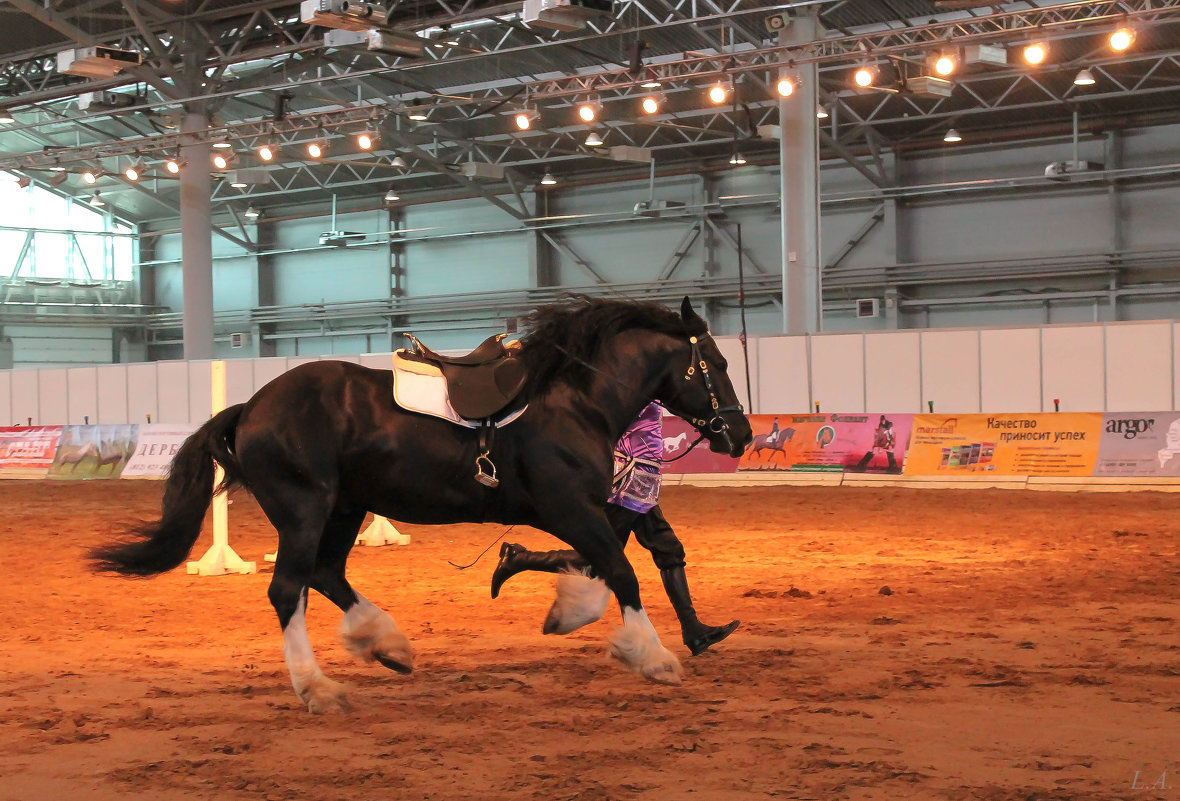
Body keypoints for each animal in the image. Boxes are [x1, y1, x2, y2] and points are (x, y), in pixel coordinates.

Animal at [92, 296, 745, 712]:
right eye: (715, 364)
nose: (738, 436)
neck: (572, 400)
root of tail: (252, 407)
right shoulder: (572, 510)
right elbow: (620, 572)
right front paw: (652, 656)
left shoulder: (581, 514)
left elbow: (602, 569)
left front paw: (569, 614)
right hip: (305, 510)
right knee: (288, 589)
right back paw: (318, 688)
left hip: (345, 509)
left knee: (327, 575)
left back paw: (387, 645)